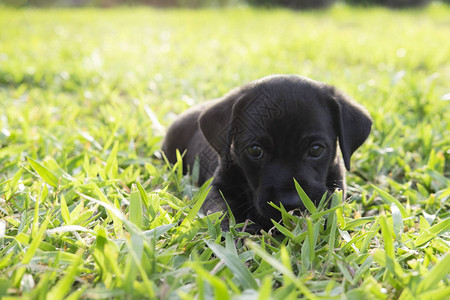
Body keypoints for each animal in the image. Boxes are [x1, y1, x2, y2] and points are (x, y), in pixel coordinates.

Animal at [160, 75, 370, 230]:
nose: (289, 204)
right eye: (255, 150)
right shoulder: (217, 187)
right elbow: (221, 210)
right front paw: (237, 231)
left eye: (316, 149)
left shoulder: (336, 185)